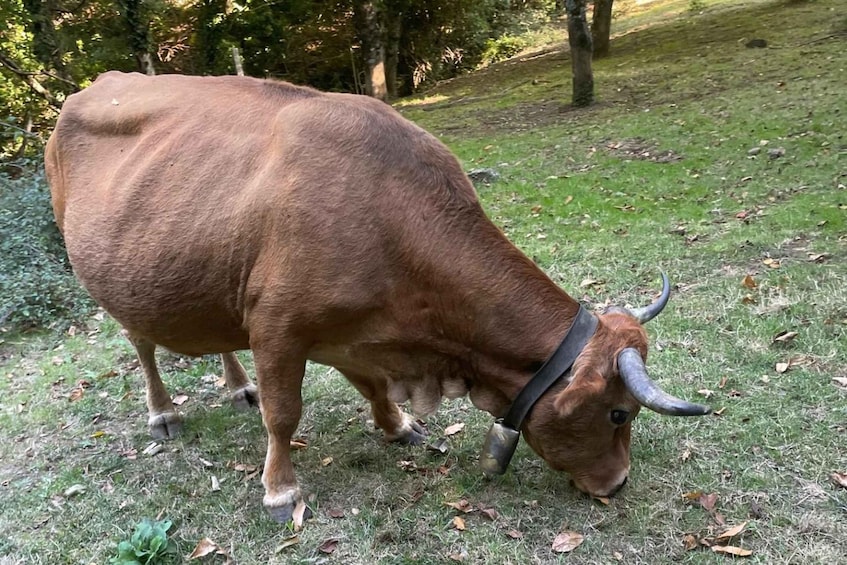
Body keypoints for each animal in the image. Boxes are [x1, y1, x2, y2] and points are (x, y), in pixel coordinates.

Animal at [45, 71, 709, 526]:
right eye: (620, 413)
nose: (618, 484)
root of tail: (99, 84)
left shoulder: (357, 333)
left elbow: (370, 387)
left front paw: (398, 426)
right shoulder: (278, 326)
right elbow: (283, 415)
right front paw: (280, 487)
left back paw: (236, 385)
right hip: (111, 279)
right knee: (142, 344)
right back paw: (163, 412)